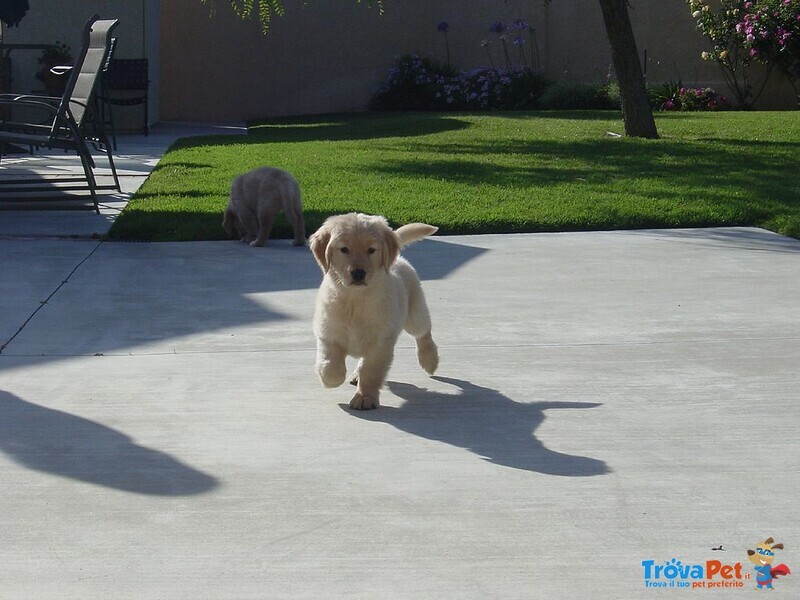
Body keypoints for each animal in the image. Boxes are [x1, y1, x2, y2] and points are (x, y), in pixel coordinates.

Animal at [310, 213, 438, 410]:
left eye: (371, 250)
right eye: (344, 249)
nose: (358, 273)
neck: (355, 299)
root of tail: (398, 258)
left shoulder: (380, 342)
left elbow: (370, 372)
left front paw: (364, 397)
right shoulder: (328, 334)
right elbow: (330, 365)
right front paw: (331, 380)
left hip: (414, 314)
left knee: (423, 331)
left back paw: (429, 359)